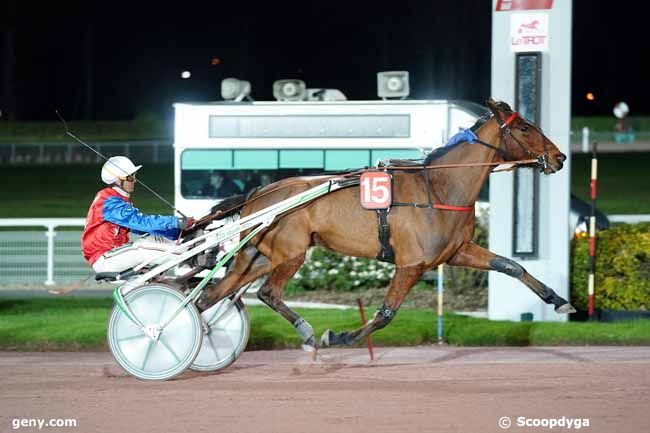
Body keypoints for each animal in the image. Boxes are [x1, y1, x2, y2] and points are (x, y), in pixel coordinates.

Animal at [192, 98, 572, 348]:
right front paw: (338, 336)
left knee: (212, 294)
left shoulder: (456, 252)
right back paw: (307, 330)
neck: (437, 188)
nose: (560, 157)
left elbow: (512, 266)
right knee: (267, 292)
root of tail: (258, 193)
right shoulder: (411, 264)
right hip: (290, 253)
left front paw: (558, 300)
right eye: (525, 127)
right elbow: (386, 313)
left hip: (257, 256)